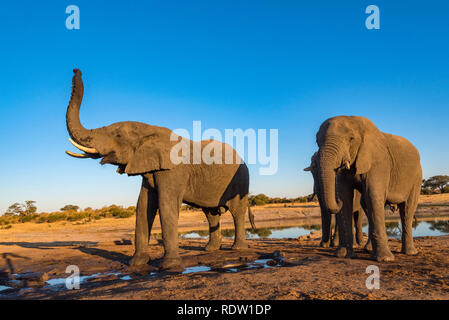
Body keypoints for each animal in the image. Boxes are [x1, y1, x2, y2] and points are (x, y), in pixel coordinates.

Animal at [65, 69, 256, 270]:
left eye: (117, 135)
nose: (76, 70)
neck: (149, 130)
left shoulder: (174, 170)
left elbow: (166, 205)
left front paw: (169, 266)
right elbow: (143, 207)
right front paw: (136, 264)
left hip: (241, 179)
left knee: (236, 212)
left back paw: (237, 249)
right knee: (211, 214)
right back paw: (210, 250)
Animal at [316, 116, 420, 262]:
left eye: (351, 139)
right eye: (317, 141)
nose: (337, 201)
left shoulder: (378, 161)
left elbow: (373, 195)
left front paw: (385, 259)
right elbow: (345, 197)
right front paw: (343, 255)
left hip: (416, 178)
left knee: (407, 209)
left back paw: (410, 253)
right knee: (367, 205)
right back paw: (369, 250)